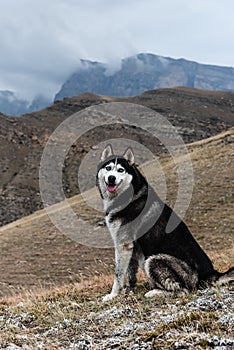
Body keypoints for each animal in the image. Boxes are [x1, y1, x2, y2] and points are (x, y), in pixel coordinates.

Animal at [96, 145, 233, 300]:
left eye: (120, 170)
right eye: (108, 168)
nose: (111, 178)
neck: (128, 195)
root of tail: (210, 274)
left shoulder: (122, 244)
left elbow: (118, 274)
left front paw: (112, 295)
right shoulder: (131, 247)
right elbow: (130, 273)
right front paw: (128, 291)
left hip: (153, 260)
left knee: (183, 290)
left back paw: (154, 292)